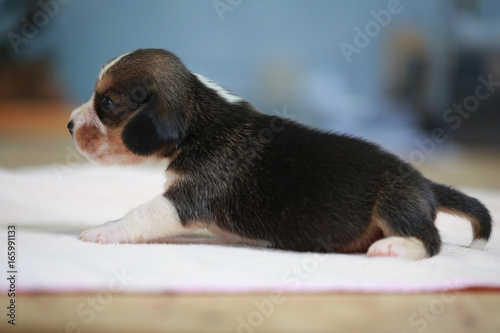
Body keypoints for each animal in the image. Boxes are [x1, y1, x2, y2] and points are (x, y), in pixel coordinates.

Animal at [69, 48, 492, 260]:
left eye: (107, 103)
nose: (70, 124)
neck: (198, 113)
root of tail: (427, 185)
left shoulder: (188, 199)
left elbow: (142, 213)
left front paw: (104, 231)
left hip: (393, 202)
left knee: (431, 240)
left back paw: (394, 247)